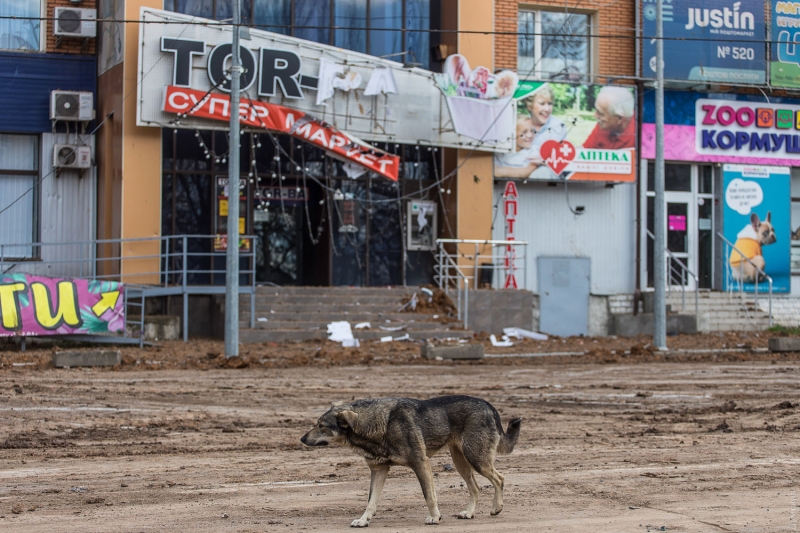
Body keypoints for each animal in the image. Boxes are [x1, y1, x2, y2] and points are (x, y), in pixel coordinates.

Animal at [298, 392, 520, 524]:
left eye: (321, 426)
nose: (302, 439)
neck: (379, 424)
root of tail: (488, 405)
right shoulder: (378, 471)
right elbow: (371, 501)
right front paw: (363, 520)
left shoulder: (421, 464)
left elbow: (429, 496)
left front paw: (435, 517)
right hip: (461, 463)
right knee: (475, 488)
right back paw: (469, 512)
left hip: (477, 459)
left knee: (499, 479)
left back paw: (496, 507)